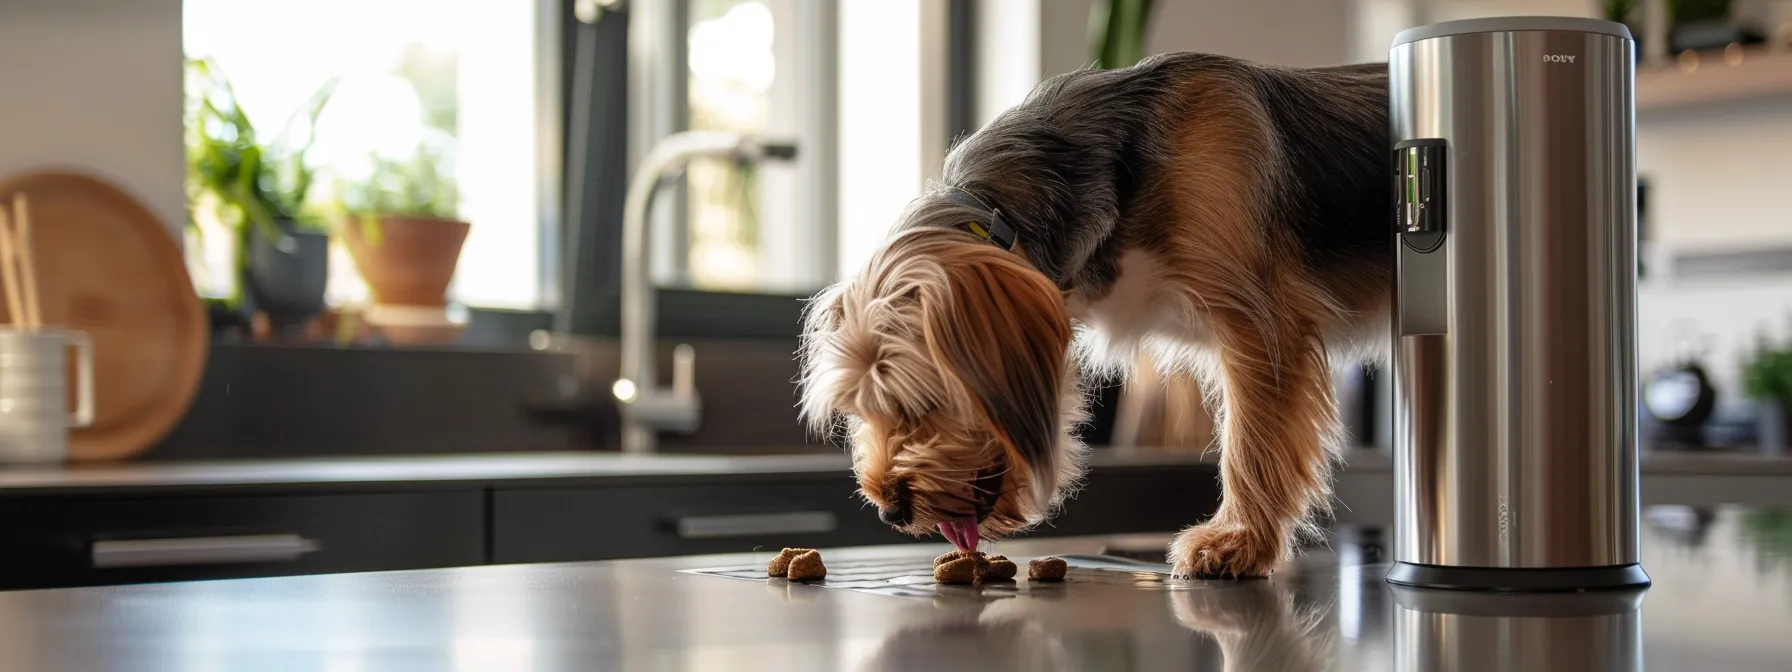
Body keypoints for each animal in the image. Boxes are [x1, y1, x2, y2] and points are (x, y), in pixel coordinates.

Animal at [795, 52, 1383, 580]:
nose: (891, 511)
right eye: (859, 409)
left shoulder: (1258, 323)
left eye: (922, 401)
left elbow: (1251, 441)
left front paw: (1237, 541)